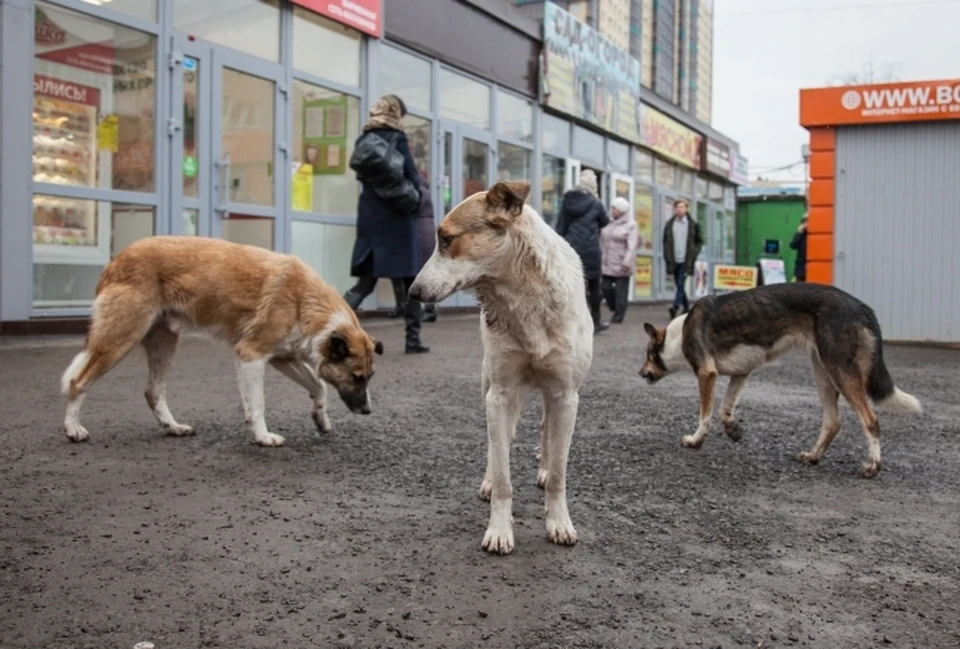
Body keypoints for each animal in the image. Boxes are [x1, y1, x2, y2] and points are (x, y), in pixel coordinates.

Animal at [58, 237, 382, 446]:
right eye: (357, 377)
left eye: (370, 377)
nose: (368, 411)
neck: (305, 302)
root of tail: (115, 262)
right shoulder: (252, 355)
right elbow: (259, 403)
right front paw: (263, 437)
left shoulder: (282, 358)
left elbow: (318, 386)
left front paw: (320, 419)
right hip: (121, 339)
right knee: (78, 382)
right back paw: (73, 429)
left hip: (165, 342)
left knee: (153, 391)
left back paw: (172, 427)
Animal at [404, 181, 592, 552]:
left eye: (446, 239)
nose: (412, 293)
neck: (523, 299)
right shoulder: (501, 393)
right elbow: (504, 470)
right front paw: (500, 529)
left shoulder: (566, 395)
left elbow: (559, 473)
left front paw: (559, 522)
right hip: (492, 386)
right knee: (498, 442)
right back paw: (491, 478)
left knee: (546, 430)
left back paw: (543, 468)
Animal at [636, 282, 924, 476]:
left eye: (648, 354)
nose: (640, 373)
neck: (678, 335)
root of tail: (863, 307)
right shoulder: (741, 373)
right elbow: (724, 410)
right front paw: (733, 430)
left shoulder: (707, 374)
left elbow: (705, 415)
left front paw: (696, 441)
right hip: (822, 372)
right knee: (832, 422)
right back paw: (812, 456)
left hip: (839, 371)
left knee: (871, 420)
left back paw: (872, 465)